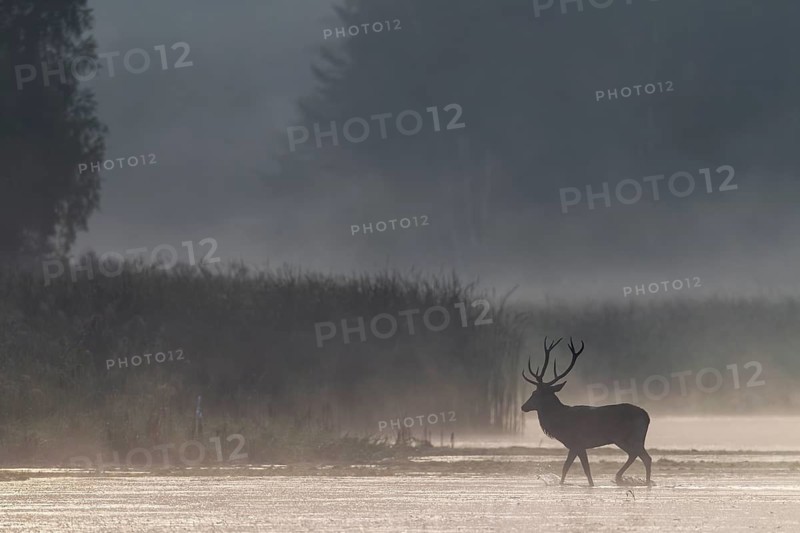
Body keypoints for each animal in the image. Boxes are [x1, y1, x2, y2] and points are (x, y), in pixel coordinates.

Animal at [521, 337, 652, 486]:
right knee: (638, 455)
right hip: (630, 439)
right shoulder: (576, 446)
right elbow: (573, 468)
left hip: (627, 437)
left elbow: (577, 468)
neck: (559, 423)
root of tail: (647, 416)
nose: (523, 406)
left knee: (643, 457)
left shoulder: (577, 442)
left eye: (535, 393)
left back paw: (634, 480)